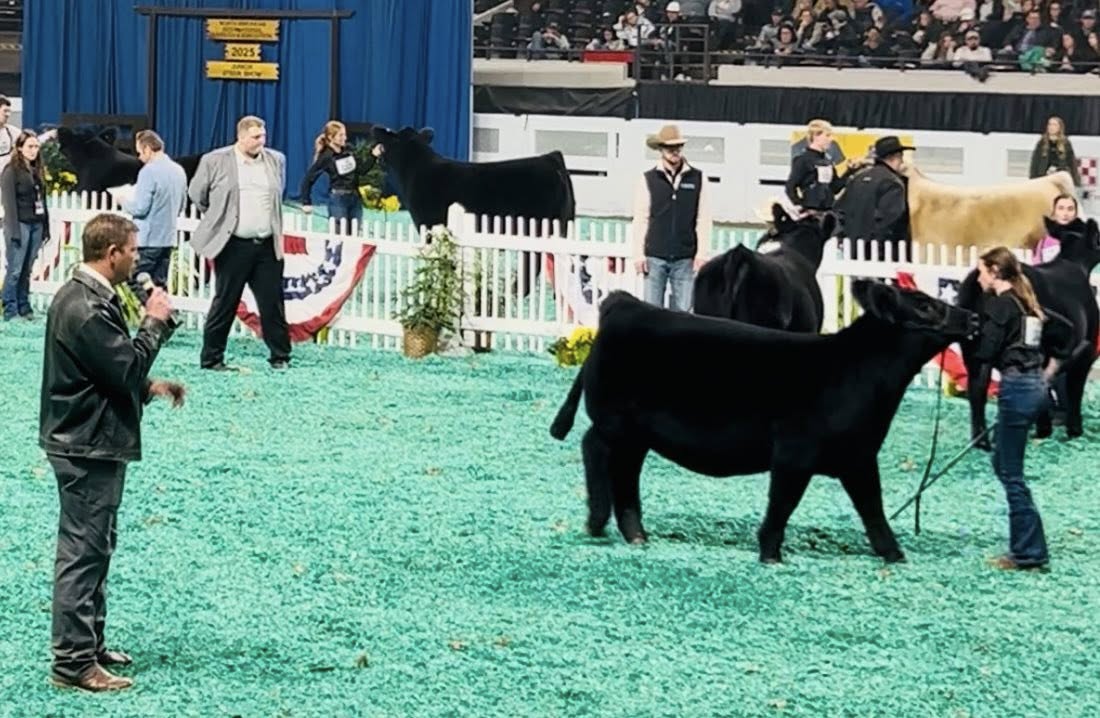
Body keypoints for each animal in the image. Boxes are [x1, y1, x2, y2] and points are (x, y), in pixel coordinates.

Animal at [548, 281, 979, 563]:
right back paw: (597, 520)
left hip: (637, 433)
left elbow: (872, 506)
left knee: (625, 470)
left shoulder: (858, 456)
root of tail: (626, 304)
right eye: (923, 305)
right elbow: (783, 501)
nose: (972, 316)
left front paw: (894, 553)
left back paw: (635, 534)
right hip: (615, 420)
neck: (857, 372)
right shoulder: (795, 453)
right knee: (593, 447)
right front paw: (771, 553)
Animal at [957, 217, 1100, 444]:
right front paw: (1072, 429)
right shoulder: (1087, 349)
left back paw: (982, 440)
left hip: (974, 351)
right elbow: (1072, 389)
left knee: (977, 389)